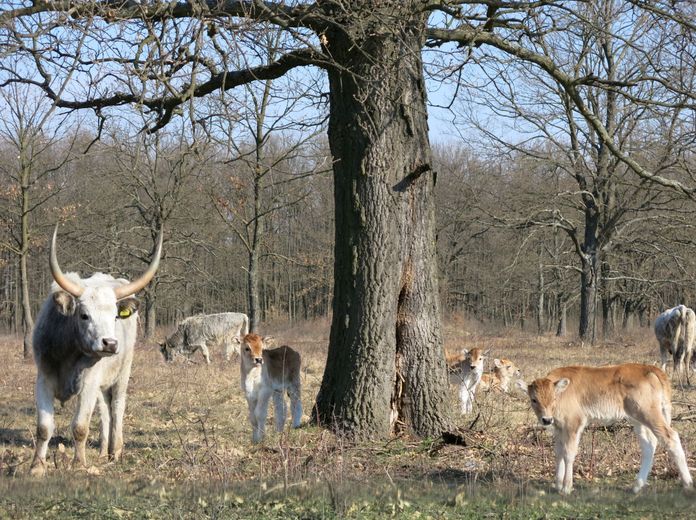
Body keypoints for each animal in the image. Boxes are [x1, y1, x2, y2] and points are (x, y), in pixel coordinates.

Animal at [516, 364, 692, 494]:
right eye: (533, 399)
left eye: (554, 398)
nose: (546, 419)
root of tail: (650, 368)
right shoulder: (559, 427)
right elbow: (558, 452)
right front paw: (558, 485)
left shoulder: (574, 423)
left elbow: (569, 453)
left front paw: (566, 487)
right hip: (637, 419)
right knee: (649, 445)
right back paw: (637, 486)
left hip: (649, 413)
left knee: (671, 436)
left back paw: (688, 483)